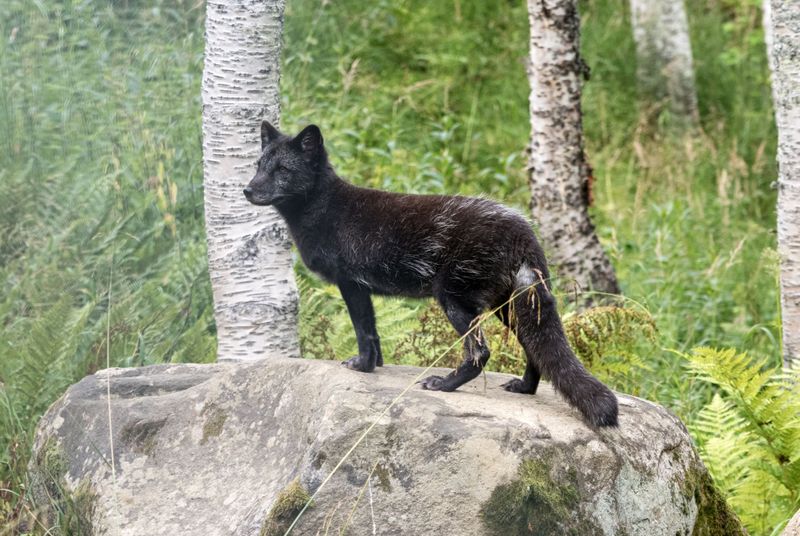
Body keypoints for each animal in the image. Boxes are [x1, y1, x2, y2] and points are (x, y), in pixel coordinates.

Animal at [244, 121, 619, 427]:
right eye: (259, 166)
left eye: (283, 169)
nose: (247, 190)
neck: (326, 211)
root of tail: (522, 229)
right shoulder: (363, 288)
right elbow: (375, 334)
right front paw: (376, 366)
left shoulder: (350, 283)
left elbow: (363, 332)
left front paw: (362, 367)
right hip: (507, 305)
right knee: (533, 349)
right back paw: (524, 388)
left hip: (454, 300)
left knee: (480, 353)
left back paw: (444, 385)